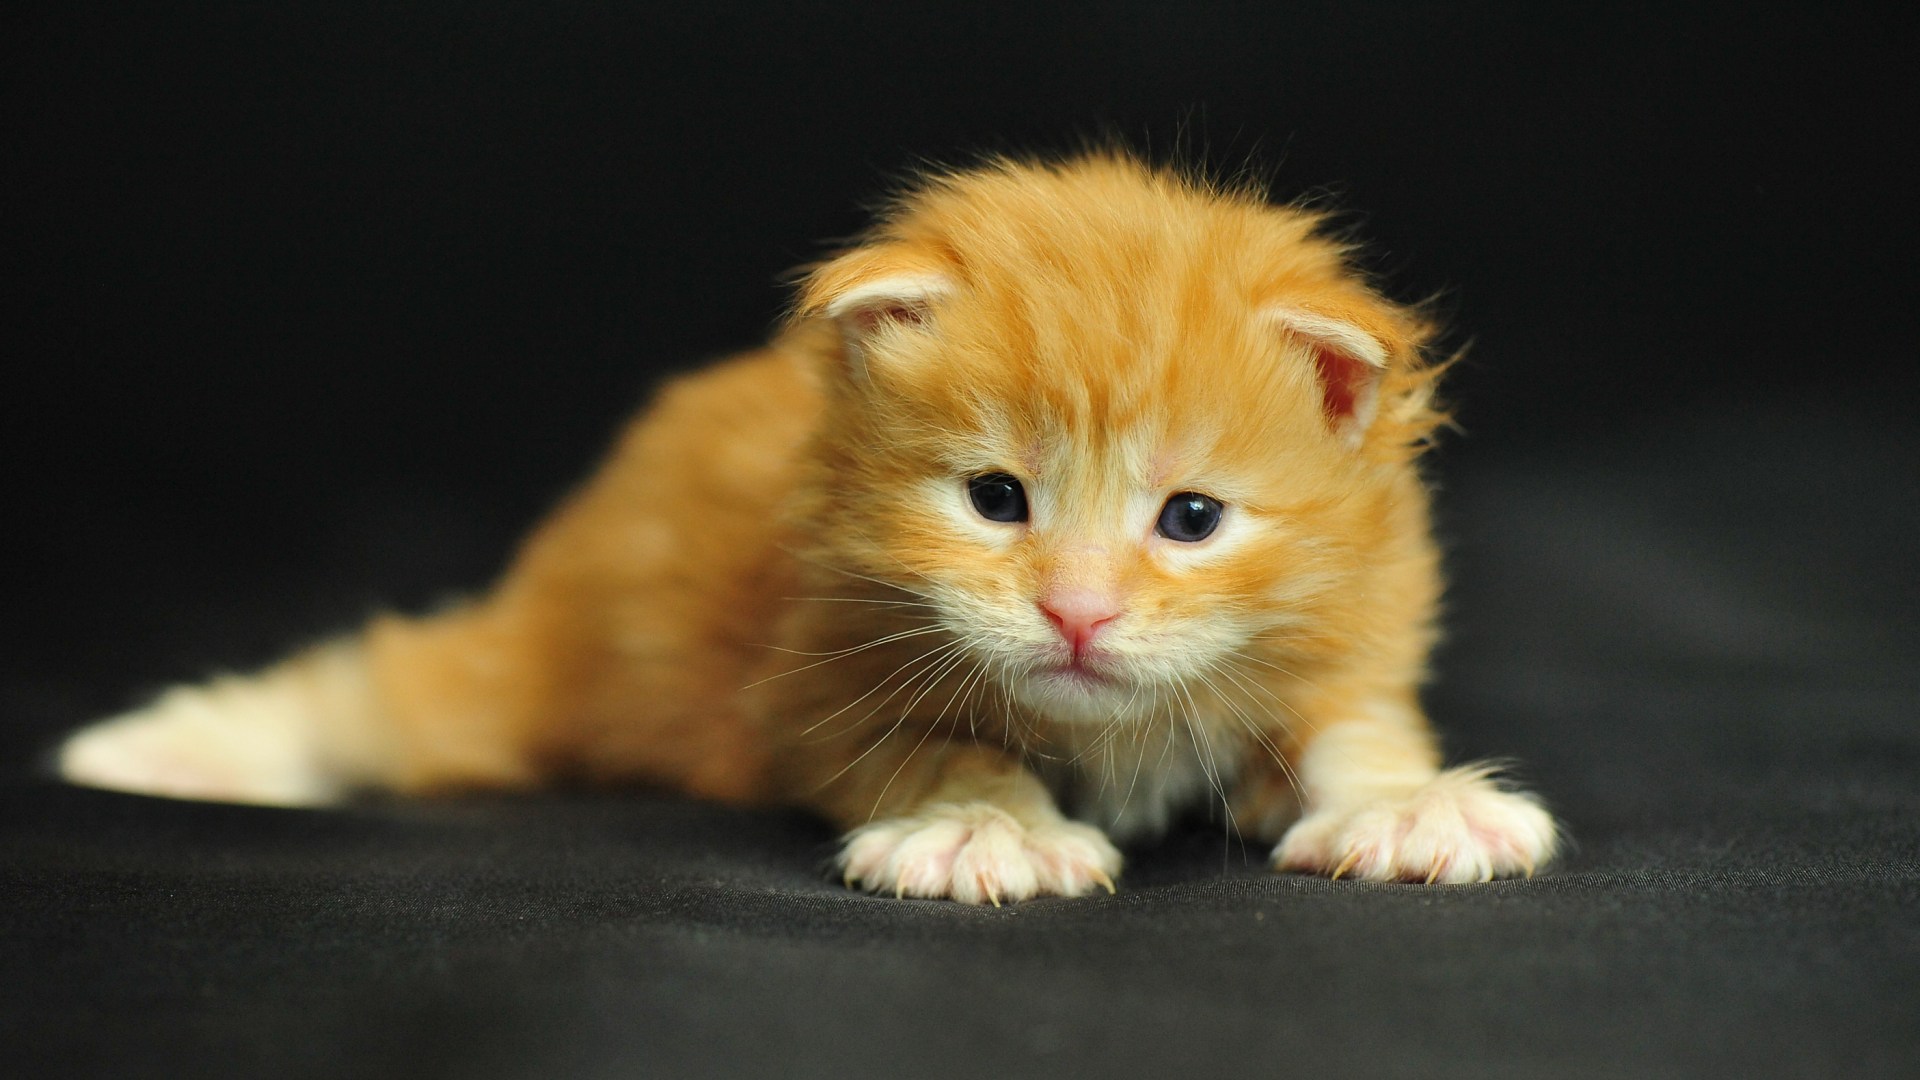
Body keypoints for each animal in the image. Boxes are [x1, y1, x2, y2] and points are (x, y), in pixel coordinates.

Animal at [60, 151, 1559, 899]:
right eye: (995, 500)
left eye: (1191, 519)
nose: (1076, 612)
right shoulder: (806, 676)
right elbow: (934, 747)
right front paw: (986, 829)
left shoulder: (1347, 631)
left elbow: (1352, 730)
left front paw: (1411, 807)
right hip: (558, 667)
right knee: (387, 693)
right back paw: (166, 754)